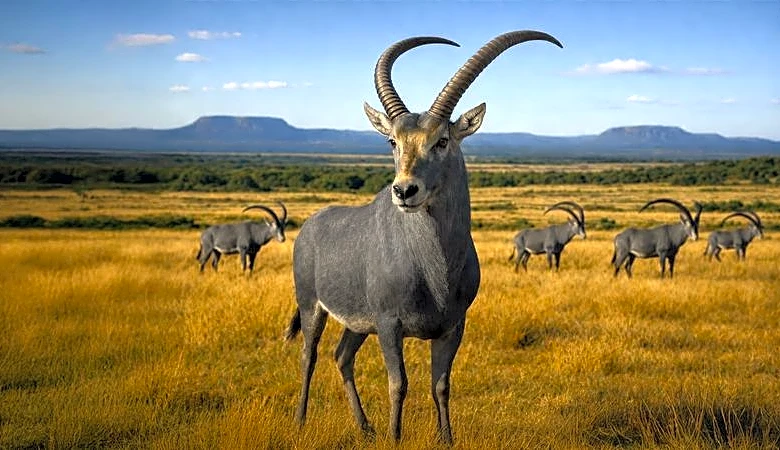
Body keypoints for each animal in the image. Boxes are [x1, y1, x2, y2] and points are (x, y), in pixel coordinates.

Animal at [284, 30, 562, 443]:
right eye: (393, 141)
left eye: (442, 140)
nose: (404, 191)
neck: (435, 268)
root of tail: (311, 226)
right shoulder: (389, 325)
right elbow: (399, 384)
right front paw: (395, 438)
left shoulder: (452, 327)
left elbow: (441, 385)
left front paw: (446, 439)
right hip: (312, 306)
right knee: (310, 355)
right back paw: (302, 421)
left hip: (357, 324)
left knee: (342, 356)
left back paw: (365, 428)